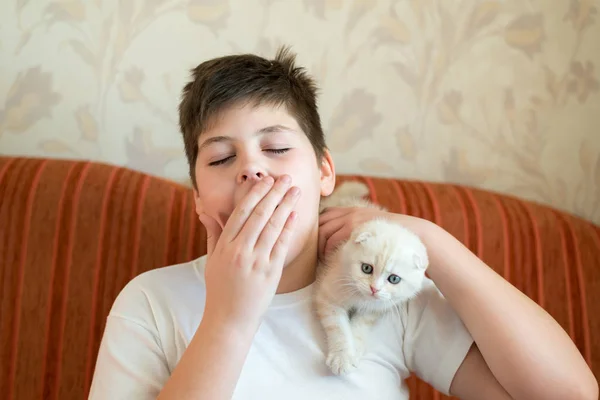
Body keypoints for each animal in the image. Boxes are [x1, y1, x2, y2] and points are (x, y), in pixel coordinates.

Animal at [314, 181, 426, 376]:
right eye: (366, 268)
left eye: (394, 279)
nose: (374, 289)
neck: (360, 297)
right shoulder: (329, 293)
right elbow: (338, 327)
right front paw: (342, 357)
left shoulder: (375, 308)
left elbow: (360, 327)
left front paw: (355, 349)